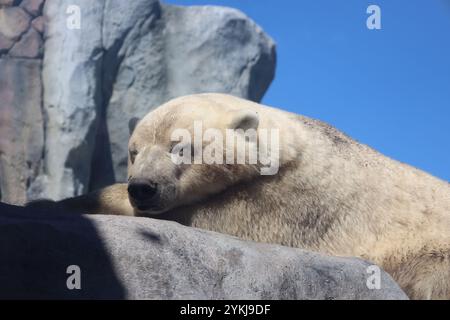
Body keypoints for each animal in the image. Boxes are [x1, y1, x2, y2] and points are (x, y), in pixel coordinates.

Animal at [30, 94, 450, 298]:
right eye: (134, 151)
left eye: (180, 148)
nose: (142, 188)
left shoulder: (288, 200)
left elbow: (203, 217)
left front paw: (52, 202)